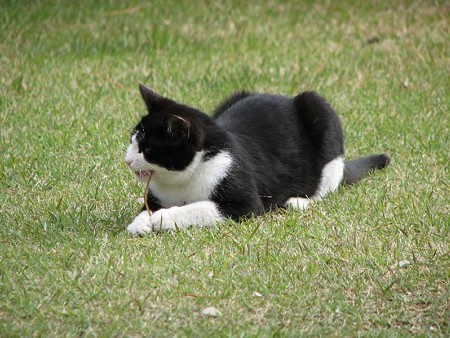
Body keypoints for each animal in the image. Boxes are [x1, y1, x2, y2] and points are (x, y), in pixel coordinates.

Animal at [124, 84, 390, 235]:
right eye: (132, 140)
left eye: (147, 149)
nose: (126, 160)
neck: (183, 179)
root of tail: (283, 97)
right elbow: (148, 207)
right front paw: (140, 222)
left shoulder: (245, 205)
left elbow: (199, 208)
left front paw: (164, 217)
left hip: (321, 111)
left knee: (329, 181)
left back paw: (299, 201)